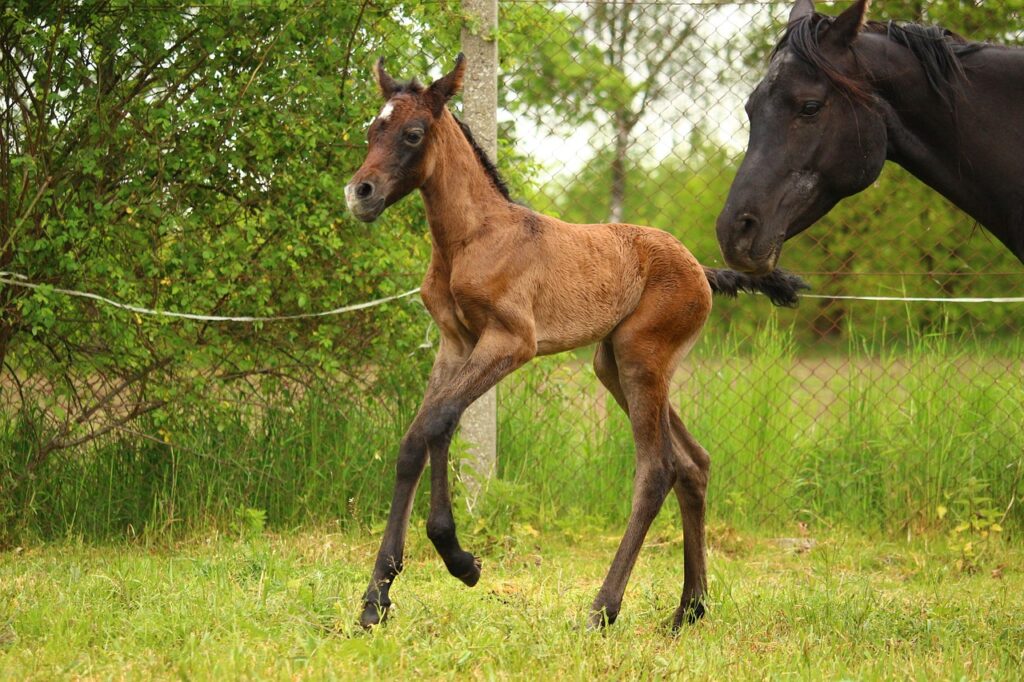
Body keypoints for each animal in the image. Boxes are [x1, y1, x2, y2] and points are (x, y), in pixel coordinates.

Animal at [344, 54, 807, 631]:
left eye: (412, 133)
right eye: (372, 129)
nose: (360, 193)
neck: (473, 238)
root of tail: (699, 269)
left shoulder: (511, 342)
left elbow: (439, 422)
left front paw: (460, 561)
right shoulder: (455, 343)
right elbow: (416, 439)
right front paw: (375, 598)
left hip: (641, 359)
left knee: (658, 469)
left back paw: (603, 609)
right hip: (615, 365)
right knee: (694, 463)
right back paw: (690, 609)